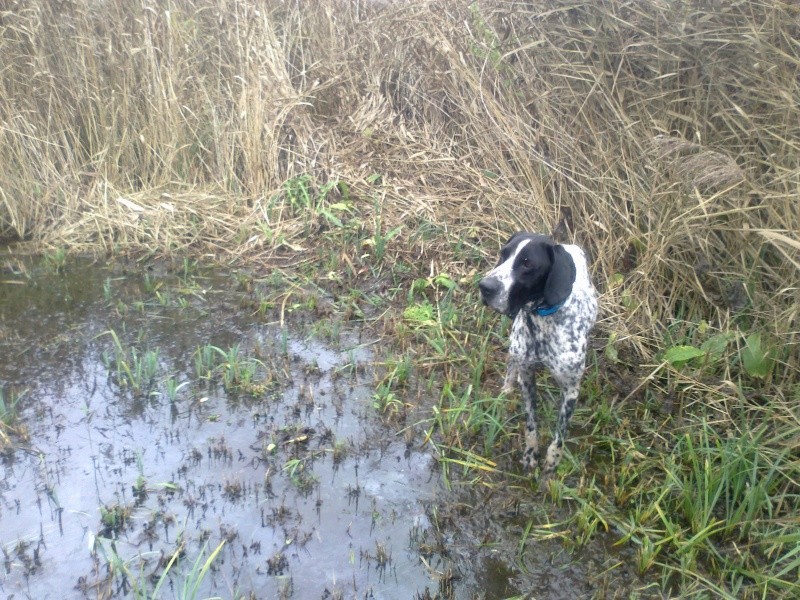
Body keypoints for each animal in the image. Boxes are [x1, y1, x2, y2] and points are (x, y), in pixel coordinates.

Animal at [478, 231, 596, 488]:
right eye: (503, 254)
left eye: (527, 264)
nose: (484, 286)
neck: (543, 320)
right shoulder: (527, 375)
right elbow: (531, 424)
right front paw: (531, 455)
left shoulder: (571, 390)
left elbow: (559, 437)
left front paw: (550, 467)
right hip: (515, 344)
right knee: (511, 363)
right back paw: (506, 389)